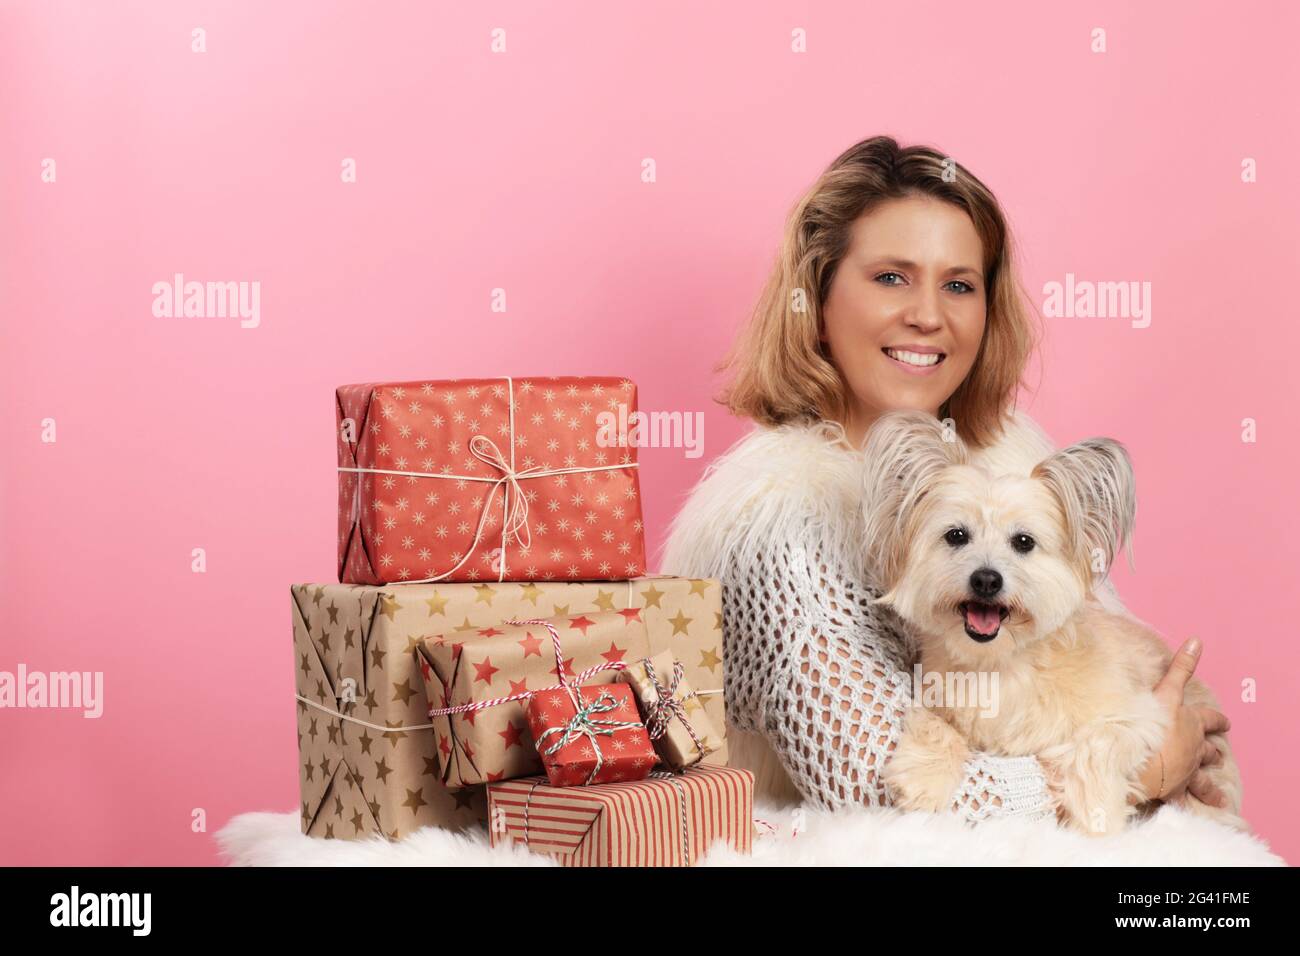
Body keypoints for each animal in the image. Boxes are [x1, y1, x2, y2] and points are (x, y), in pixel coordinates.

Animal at [868, 411, 1242, 837]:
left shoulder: (1140, 716)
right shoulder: (937, 699)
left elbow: (1093, 748)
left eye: (1024, 542)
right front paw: (924, 776)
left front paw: (1097, 816)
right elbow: (933, 723)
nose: (986, 579)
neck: (1001, 665)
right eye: (956, 535)